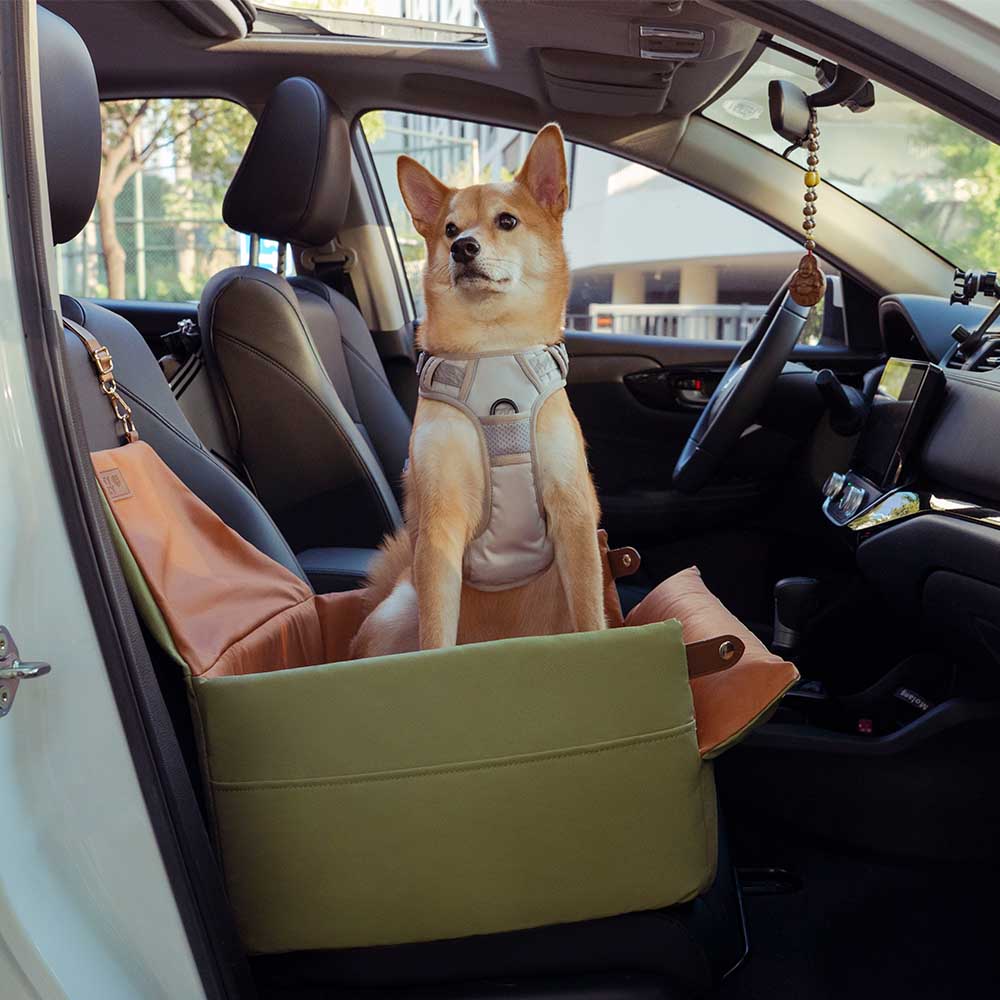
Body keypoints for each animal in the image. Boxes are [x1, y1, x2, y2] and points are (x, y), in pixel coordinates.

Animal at [352, 123, 600, 656]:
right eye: (449, 229)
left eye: (507, 221)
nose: (462, 248)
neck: (493, 353)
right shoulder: (440, 525)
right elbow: (436, 638)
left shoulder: (574, 517)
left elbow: (595, 619)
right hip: (396, 611)